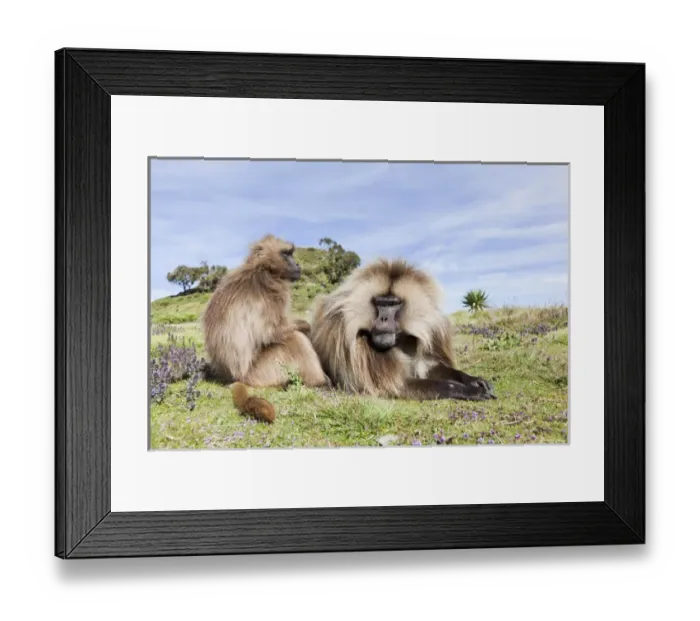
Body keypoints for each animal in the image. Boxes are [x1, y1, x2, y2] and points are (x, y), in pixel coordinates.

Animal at [202, 234, 328, 422]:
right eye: (286, 254)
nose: (298, 265)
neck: (262, 267)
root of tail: (235, 378)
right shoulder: (274, 289)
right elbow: (271, 333)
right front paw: (307, 326)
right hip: (261, 372)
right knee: (294, 338)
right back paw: (319, 382)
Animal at [309, 258, 497, 402]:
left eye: (393, 304)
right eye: (380, 303)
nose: (383, 319)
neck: (400, 340)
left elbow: (427, 367)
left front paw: (472, 380)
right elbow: (396, 386)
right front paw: (471, 391)